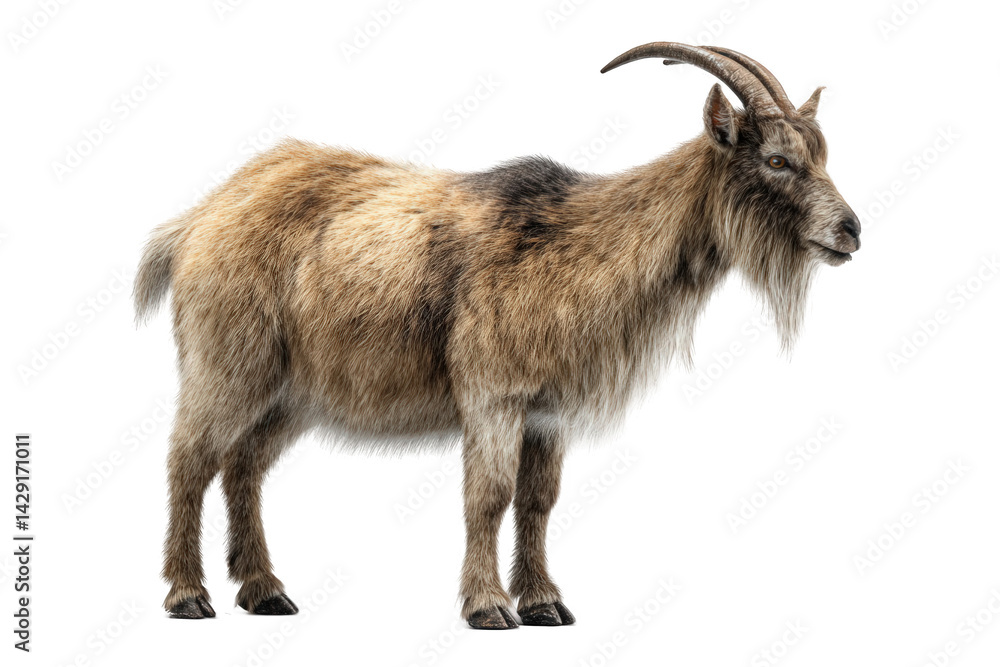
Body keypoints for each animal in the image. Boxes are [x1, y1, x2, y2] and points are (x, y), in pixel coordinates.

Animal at [135, 42, 860, 628]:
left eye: (822, 155)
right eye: (777, 160)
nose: (850, 230)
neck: (583, 239)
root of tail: (199, 218)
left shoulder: (547, 409)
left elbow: (539, 500)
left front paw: (544, 603)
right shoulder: (494, 393)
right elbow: (488, 495)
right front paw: (488, 607)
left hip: (292, 390)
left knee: (244, 463)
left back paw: (264, 591)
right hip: (229, 358)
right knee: (189, 456)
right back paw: (189, 595)